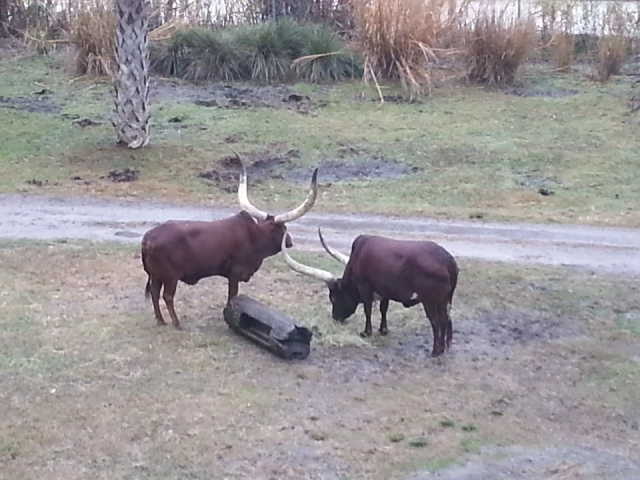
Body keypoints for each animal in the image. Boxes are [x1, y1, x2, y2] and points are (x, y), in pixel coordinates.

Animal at [141, 153, 318, 329]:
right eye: (283, 228)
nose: (290, 242)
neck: (254, 236)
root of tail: (148, 238)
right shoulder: (235, 274)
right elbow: (232, 295)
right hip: (170, 277)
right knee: (167, 296)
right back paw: (176, 323)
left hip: (157, 275)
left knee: (155, 293)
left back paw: (160, 320)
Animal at [281, 229, 459, 356]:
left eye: (334, 298)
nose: (335, 318)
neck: (358, 254)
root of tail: (448, 261)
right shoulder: (385, 290)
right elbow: (383, 308)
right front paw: (383, 330)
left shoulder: (365, 286)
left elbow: (367, 309)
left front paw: (367, 332)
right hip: (445, 301)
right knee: (445, 320)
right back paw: (442, 349)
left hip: (430, 301)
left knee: (436, 322)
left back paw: (435, 351)